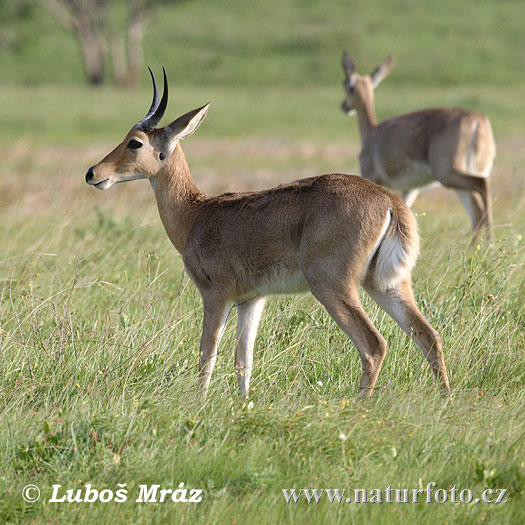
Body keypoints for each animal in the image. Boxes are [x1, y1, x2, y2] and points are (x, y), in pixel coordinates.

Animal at [86, 66, 450, 398]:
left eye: (135, 143)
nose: (93, 173)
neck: (196, 214)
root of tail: (390, 201)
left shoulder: (215, 295)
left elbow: (207, 354)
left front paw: (199, 403)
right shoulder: (252, 300)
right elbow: (243, 361)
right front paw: (242, 403)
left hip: (333, 285)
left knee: (374, 345)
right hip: (387, 284)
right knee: (428, 335)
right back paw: (445, 399)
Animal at [340, 50, 496, 243]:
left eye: (347, 84)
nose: (344, 106)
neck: (372, 131)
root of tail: (478, 120)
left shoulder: (370, 175)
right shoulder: (411, 187)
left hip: (448, 174)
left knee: (483, 187)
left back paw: (490, 243)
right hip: (462, 178)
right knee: (476, 211)